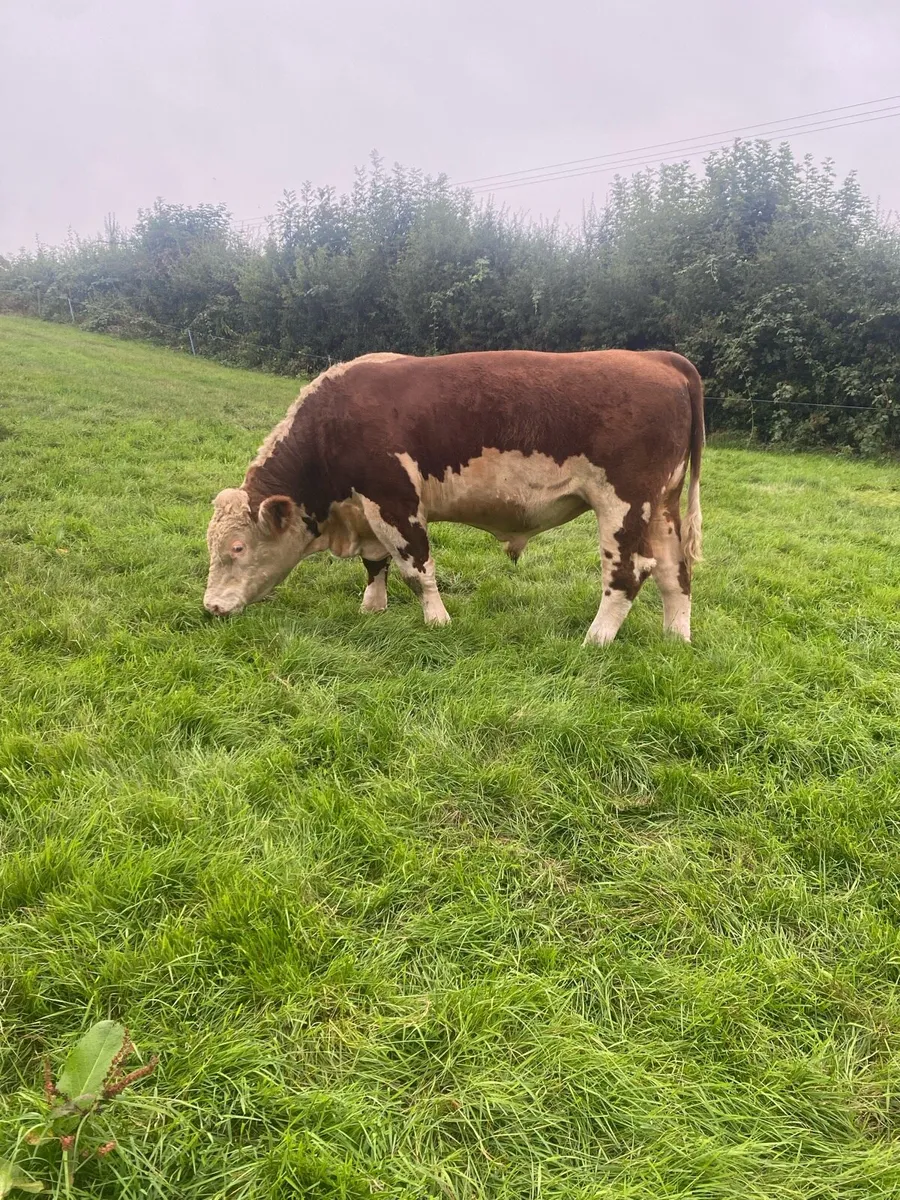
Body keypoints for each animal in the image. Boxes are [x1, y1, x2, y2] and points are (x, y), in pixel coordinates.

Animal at [203, 349, 704, 645]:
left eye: (238, 547)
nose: (210, 607)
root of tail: (656, 358)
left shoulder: (394, 502)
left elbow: (416, 567)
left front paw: (437, 621)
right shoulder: (367, 509)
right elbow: (375, 563)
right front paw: (372, 607)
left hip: (624, 505)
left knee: (629, 572)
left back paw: (595, 640)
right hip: (662, 505)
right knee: (674, 571)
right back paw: (675, 639)